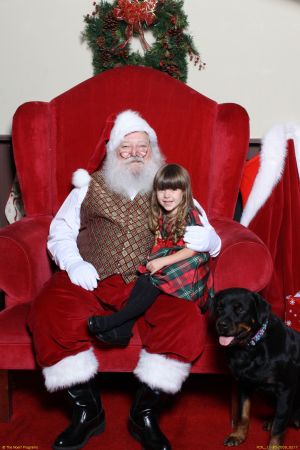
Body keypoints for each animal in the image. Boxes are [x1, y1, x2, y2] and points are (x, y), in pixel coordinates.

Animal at [211, 288, 300, 446]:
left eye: (240, 309)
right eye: (219, 308)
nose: (221, 324)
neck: (252, 347)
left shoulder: (286, 389)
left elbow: (279, 426)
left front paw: (274, 446)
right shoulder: (244, 384)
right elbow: (243, 415)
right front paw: (238, 435)